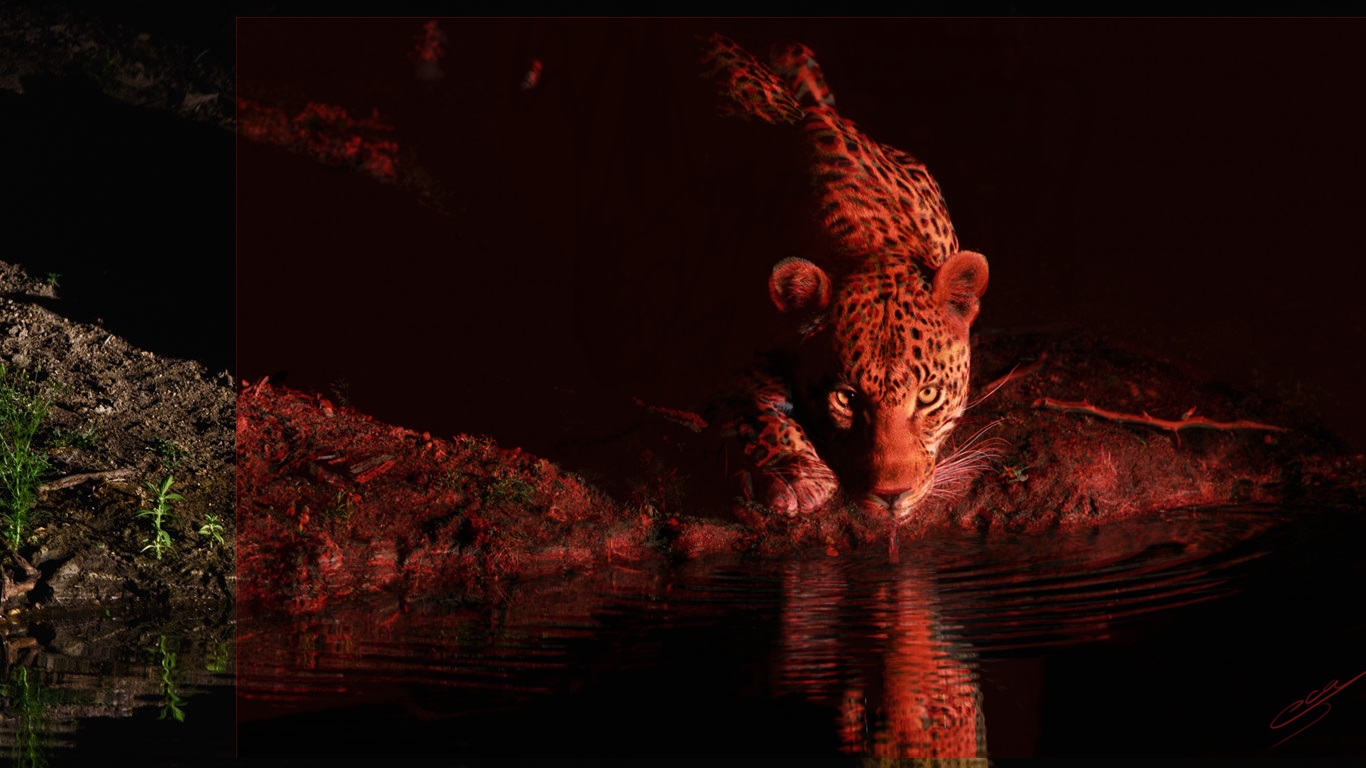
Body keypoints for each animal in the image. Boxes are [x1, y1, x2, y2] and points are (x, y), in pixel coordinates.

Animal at [698, 34, 989, 521]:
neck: (863, 238)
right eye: (846, 399)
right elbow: (750, 391)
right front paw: (789, 472)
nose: (892, 497)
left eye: (929, 395)